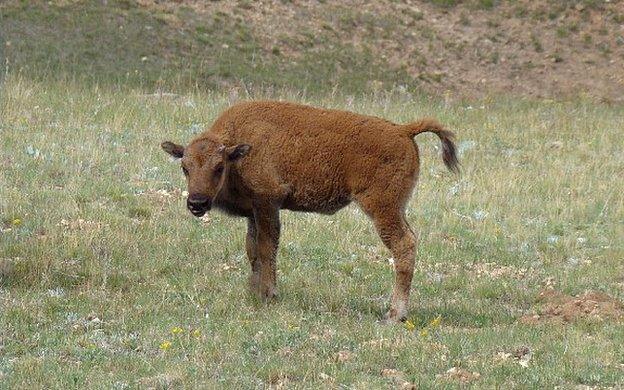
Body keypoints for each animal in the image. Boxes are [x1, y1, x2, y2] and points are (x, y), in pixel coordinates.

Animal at [162, 100, 458, 322]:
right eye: (185, 167)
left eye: (219, 166)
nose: (197, 203)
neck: (239, 147)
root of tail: (404, 130)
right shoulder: (254, 212)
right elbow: (253, 251)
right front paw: (254, 293)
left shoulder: (268, 204)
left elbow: (267, 249)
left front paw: (268, 295)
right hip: (396, 207)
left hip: (382, 208)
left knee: (404, 245)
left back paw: (395, 314)